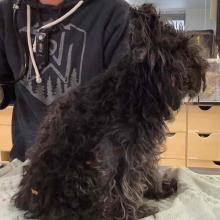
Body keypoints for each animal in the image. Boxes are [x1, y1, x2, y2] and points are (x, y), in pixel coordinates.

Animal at [13, 3, 208, 220]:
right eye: (180, 48)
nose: (202, 65)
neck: (137, 88)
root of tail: (30, 196)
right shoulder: (119, 148)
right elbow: (121, 181)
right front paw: (132, 211)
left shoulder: (142, 146)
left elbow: (148, 168)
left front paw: (158, 189)